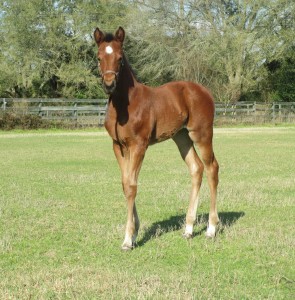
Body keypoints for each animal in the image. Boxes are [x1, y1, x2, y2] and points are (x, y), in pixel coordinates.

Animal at [94, 27, 220, 250]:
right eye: (99, 57)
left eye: (120, 58)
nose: (109, 84)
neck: (125, 105)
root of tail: (204, 91)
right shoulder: (118, 146)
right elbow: (125, 183)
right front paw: (134, 233)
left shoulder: (139, 145)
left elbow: (132, 186)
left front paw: (128, 239)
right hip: (181, 137)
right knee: (196, 168)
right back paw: (188, 229)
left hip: (201, 134)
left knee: (212, 168)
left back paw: (211, 229)